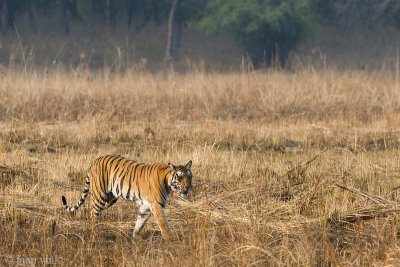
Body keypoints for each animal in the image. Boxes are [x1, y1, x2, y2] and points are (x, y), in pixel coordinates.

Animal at [61, 155, 193, 241]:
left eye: (190, 176)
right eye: (180, 177)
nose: (188, 187)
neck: (168, 183)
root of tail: (95, 162)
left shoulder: (145, 207)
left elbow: (140, 222)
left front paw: (135, 237)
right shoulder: (156, 205)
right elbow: (163, 223)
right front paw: (171, 238)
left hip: (110, 199)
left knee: (94, 212)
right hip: (100, 195)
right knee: (93, 214)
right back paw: (96, 234)